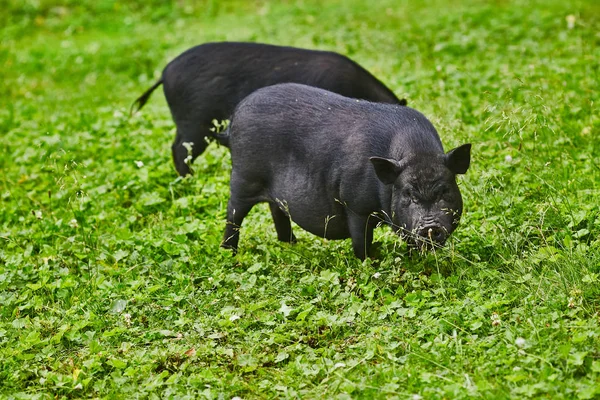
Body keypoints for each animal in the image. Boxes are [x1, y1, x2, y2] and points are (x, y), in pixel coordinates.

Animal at [218, 83, 472, 260]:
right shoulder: (356, 206)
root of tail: (234, 119)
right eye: (408, 194)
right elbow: (361, 241)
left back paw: (291, 244)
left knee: (277, 210)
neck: (417, 153)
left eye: (444, 191)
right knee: (233, 214)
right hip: (243, 177)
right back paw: (229, 252)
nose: (430, 228)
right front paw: (368, 262)